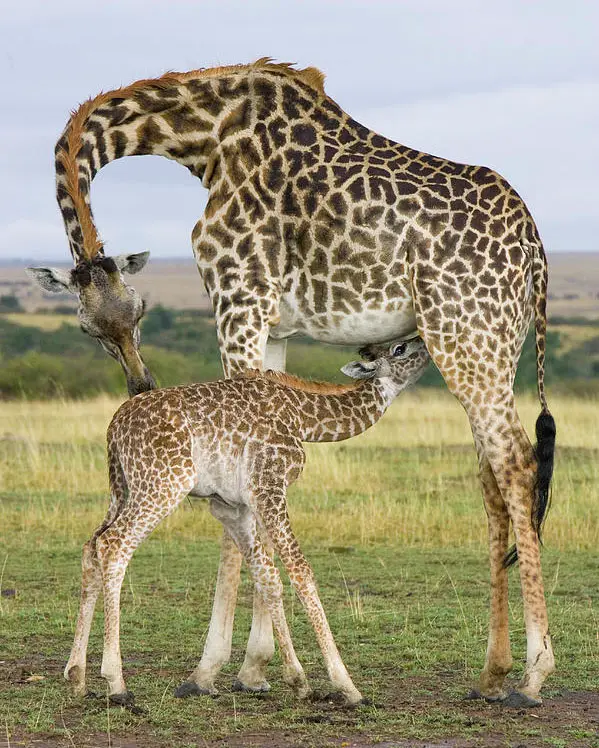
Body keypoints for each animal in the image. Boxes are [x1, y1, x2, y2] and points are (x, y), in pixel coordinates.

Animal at [64, 338, 432, 708]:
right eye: (400, 348)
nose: (425, 346)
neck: (302, 418)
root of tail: (114, 428)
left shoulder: (232, 505)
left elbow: (267, 578)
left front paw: (293, 680)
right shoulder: (269, 485)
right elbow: (300, 572)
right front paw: (347, 687)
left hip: (121, 488)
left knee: (91, 546)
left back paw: (77, 677)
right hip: (163, 484)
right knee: (113, 546)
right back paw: (116, 683)